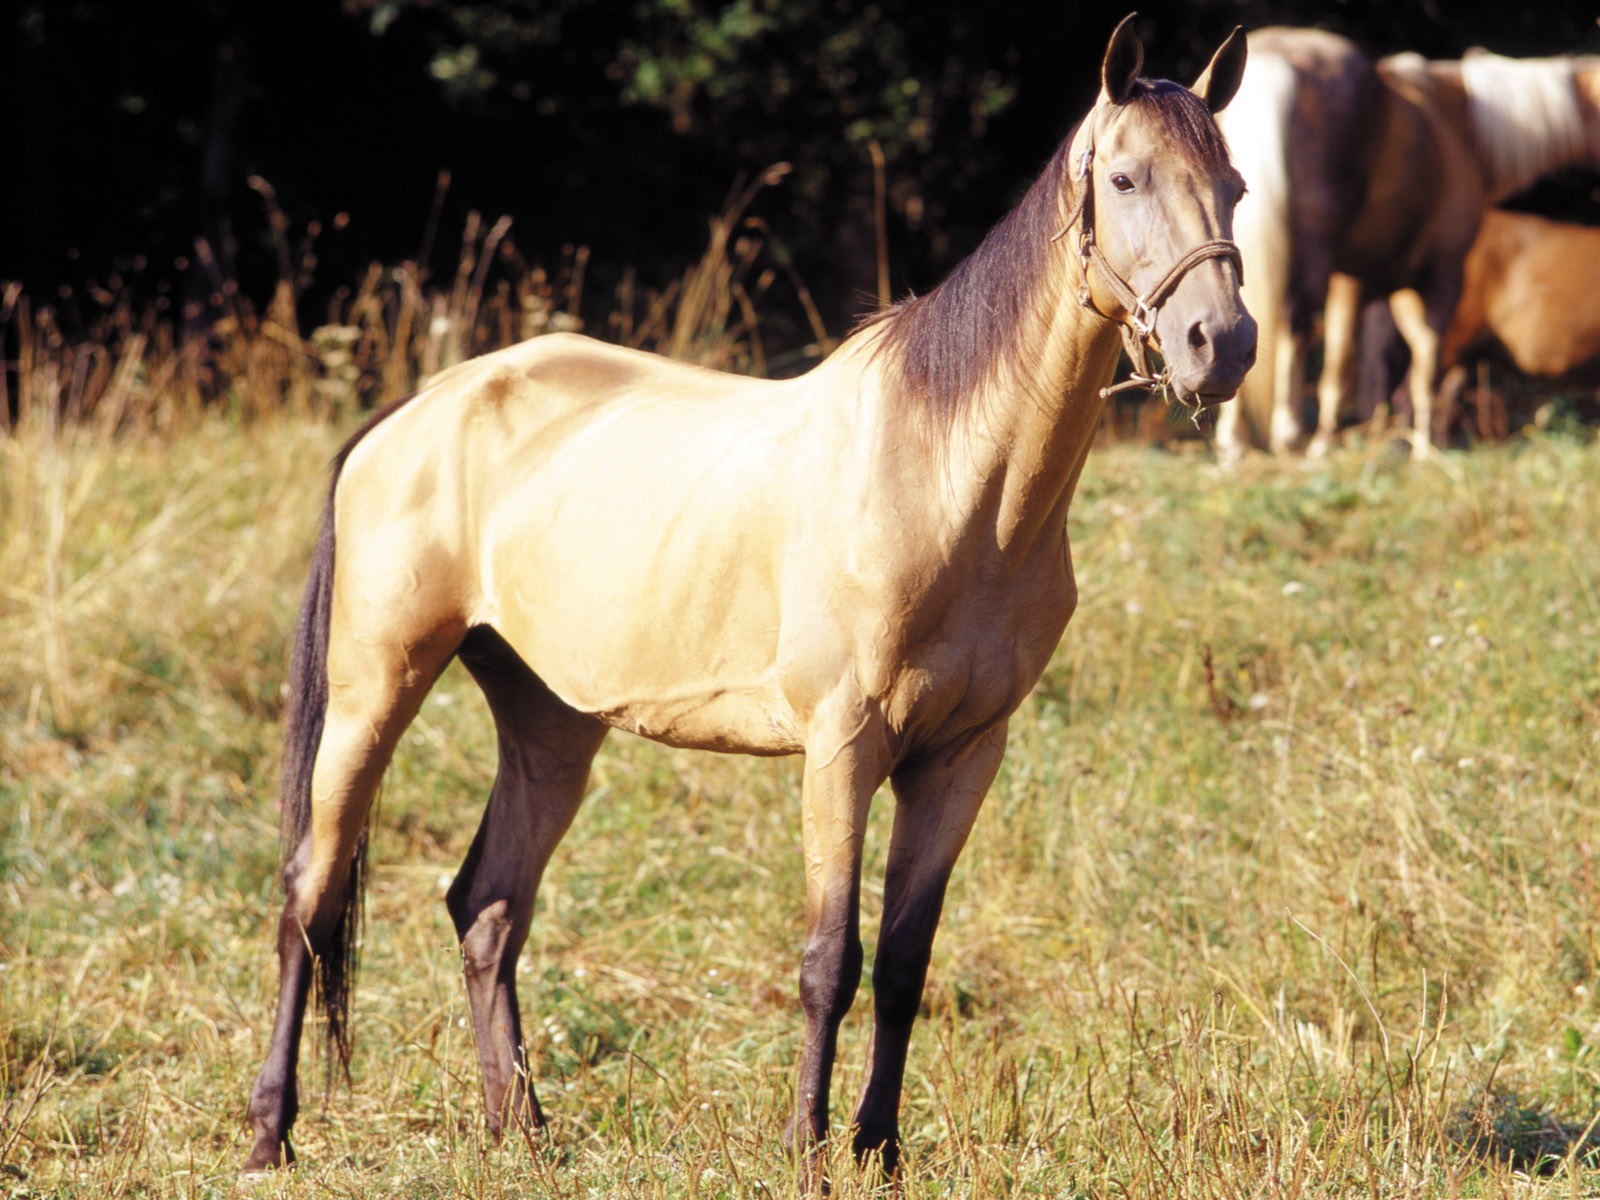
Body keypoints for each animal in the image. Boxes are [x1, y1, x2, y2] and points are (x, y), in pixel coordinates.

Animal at [240, 16, 1260, 1184]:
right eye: (1125, 177)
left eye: (1234, 185)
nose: (1221, 345)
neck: (944, 472)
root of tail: (415, 410)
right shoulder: (843, 748)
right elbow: (830, 958)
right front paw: (809, 1152)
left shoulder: (963, 757)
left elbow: (904, 960)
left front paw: (879, 1150)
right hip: (374, 689)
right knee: (310, 896)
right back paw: (271, 1133)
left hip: (550, 718)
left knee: (488, 906)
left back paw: (522, 1132)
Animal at [1209, 29, 1600, 460]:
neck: (1461, 124)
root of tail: (1275, 58)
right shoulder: (1442, 276)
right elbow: (1426, 372)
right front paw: (1426, 449)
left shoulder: (1354, 282)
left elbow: (1340, 370)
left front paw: (1328, 445)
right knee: (1292, 322)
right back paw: (1287, 434)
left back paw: (1237, 441)